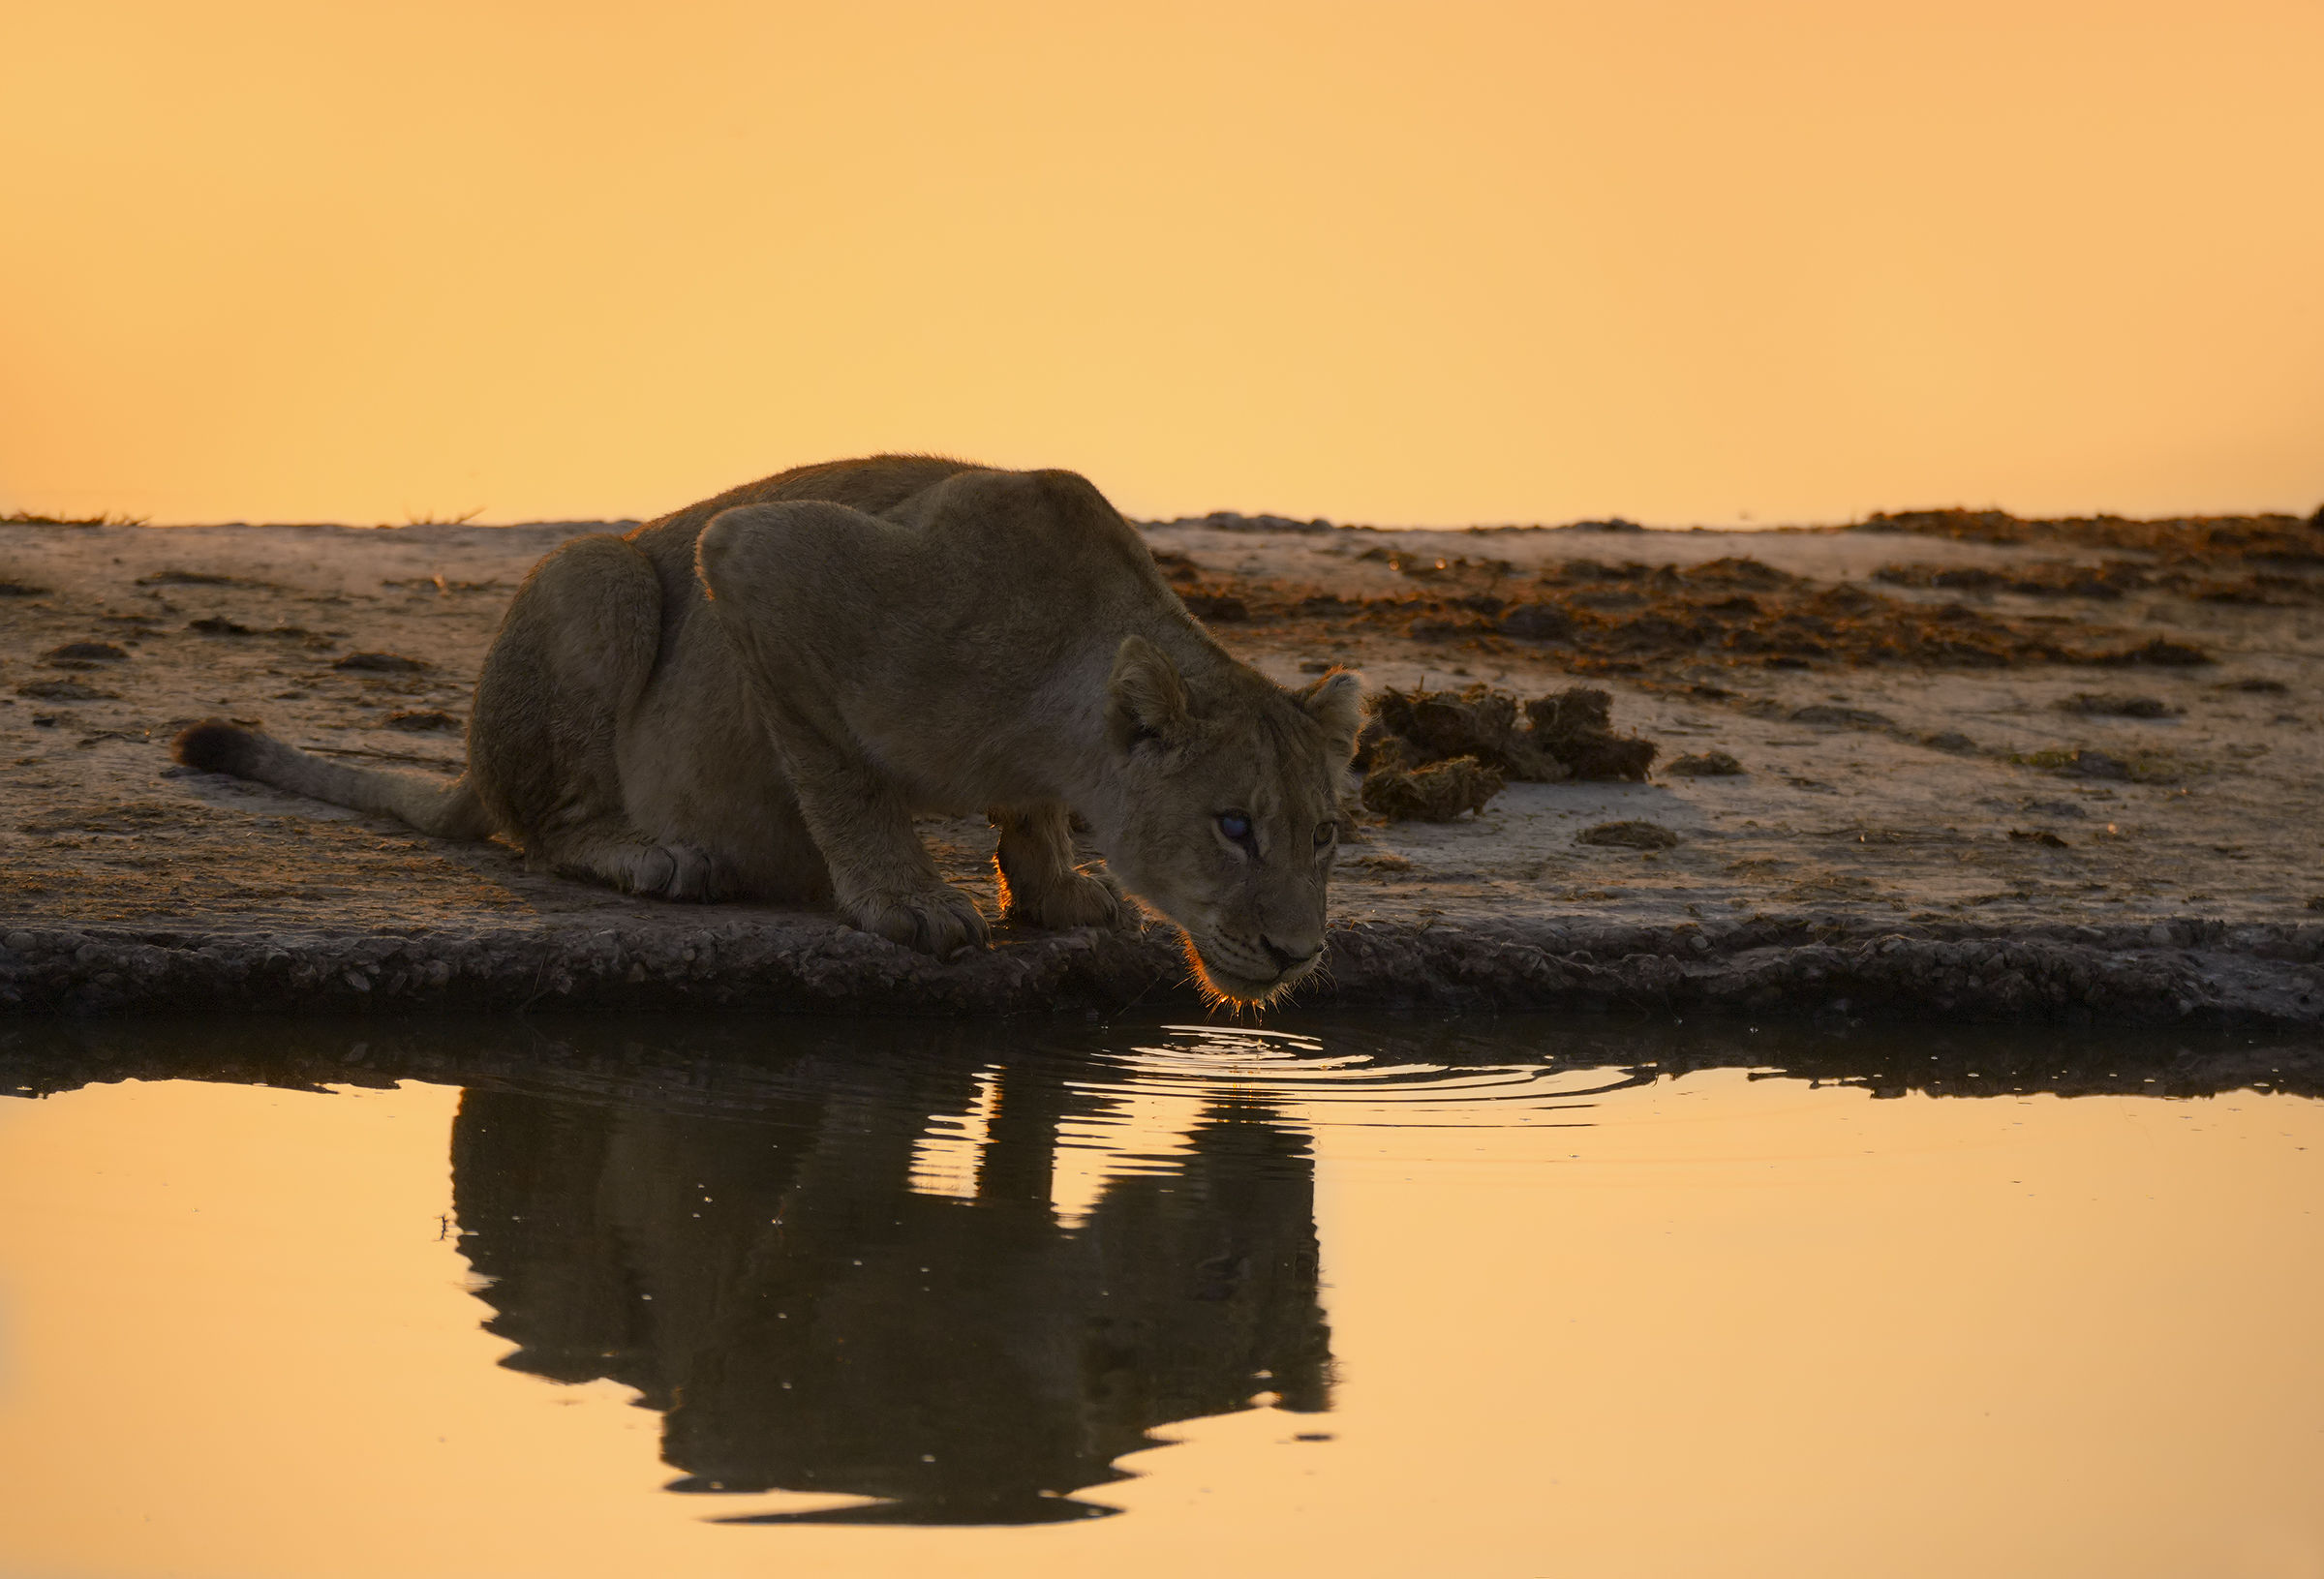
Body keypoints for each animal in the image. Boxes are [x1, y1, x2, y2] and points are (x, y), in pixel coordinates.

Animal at [173, 456, 1364, 1004]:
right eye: (1234, 826)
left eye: (1326, 835)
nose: (1299, 952)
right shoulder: (766, 567)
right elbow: (841, 773)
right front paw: (907, 902)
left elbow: (1025, 817)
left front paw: (1058, 890)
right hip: (602, 572)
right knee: (546, 824)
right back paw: (656, 857)